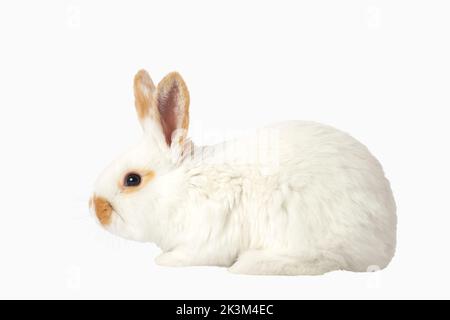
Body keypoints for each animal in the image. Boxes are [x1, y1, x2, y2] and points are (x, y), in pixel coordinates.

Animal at [91, 70, 398, 276]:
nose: (96, 209)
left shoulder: (205, 237)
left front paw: (165, 261)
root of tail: (388, 239)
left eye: (132, 180)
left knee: (323, 260)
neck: (184, 187)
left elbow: (189, 256)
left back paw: (249, 264)